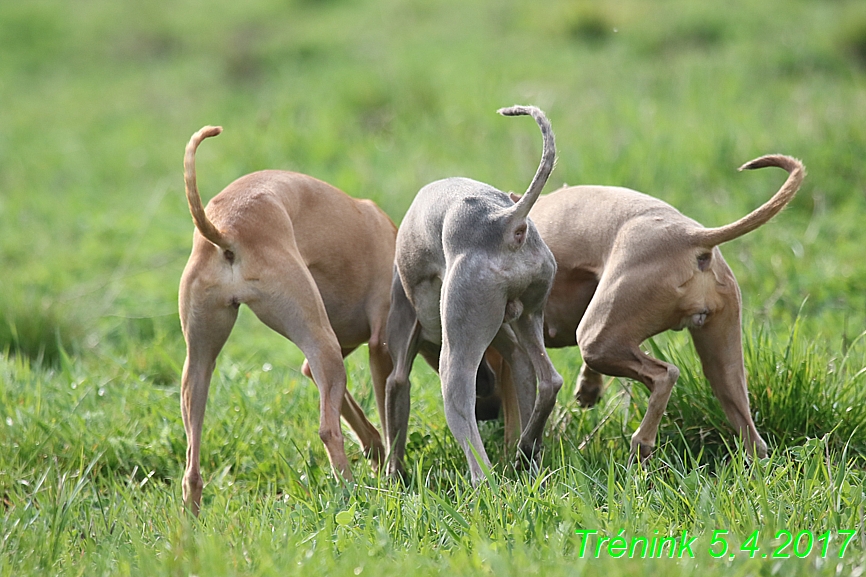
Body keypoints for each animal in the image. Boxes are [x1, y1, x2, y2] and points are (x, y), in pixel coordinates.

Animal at [179, 126, 394, 512]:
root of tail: (226, 229)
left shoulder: (327, 358)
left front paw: (378, 455)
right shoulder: (378, 347)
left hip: (200, 364)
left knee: (191, 465)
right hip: (321, 342)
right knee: (328, 431)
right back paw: (352, 494)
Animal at [384, 104, 560, 482]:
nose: (489, 411)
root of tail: (506, 220)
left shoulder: (403, 351)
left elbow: (396, 387)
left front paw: (390, 476)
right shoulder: (504, 333)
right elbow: (521, 364)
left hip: (457, 354)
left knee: (477, 456)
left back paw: (489, 478)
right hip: (528, 314)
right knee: (549, 380)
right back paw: (526, 452)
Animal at [528, 152, 804, 460]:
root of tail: (693, 236)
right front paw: (588, 389)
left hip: (597, 339)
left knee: (665, 375)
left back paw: (641, 446)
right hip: (721, 359)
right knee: (750, 430)